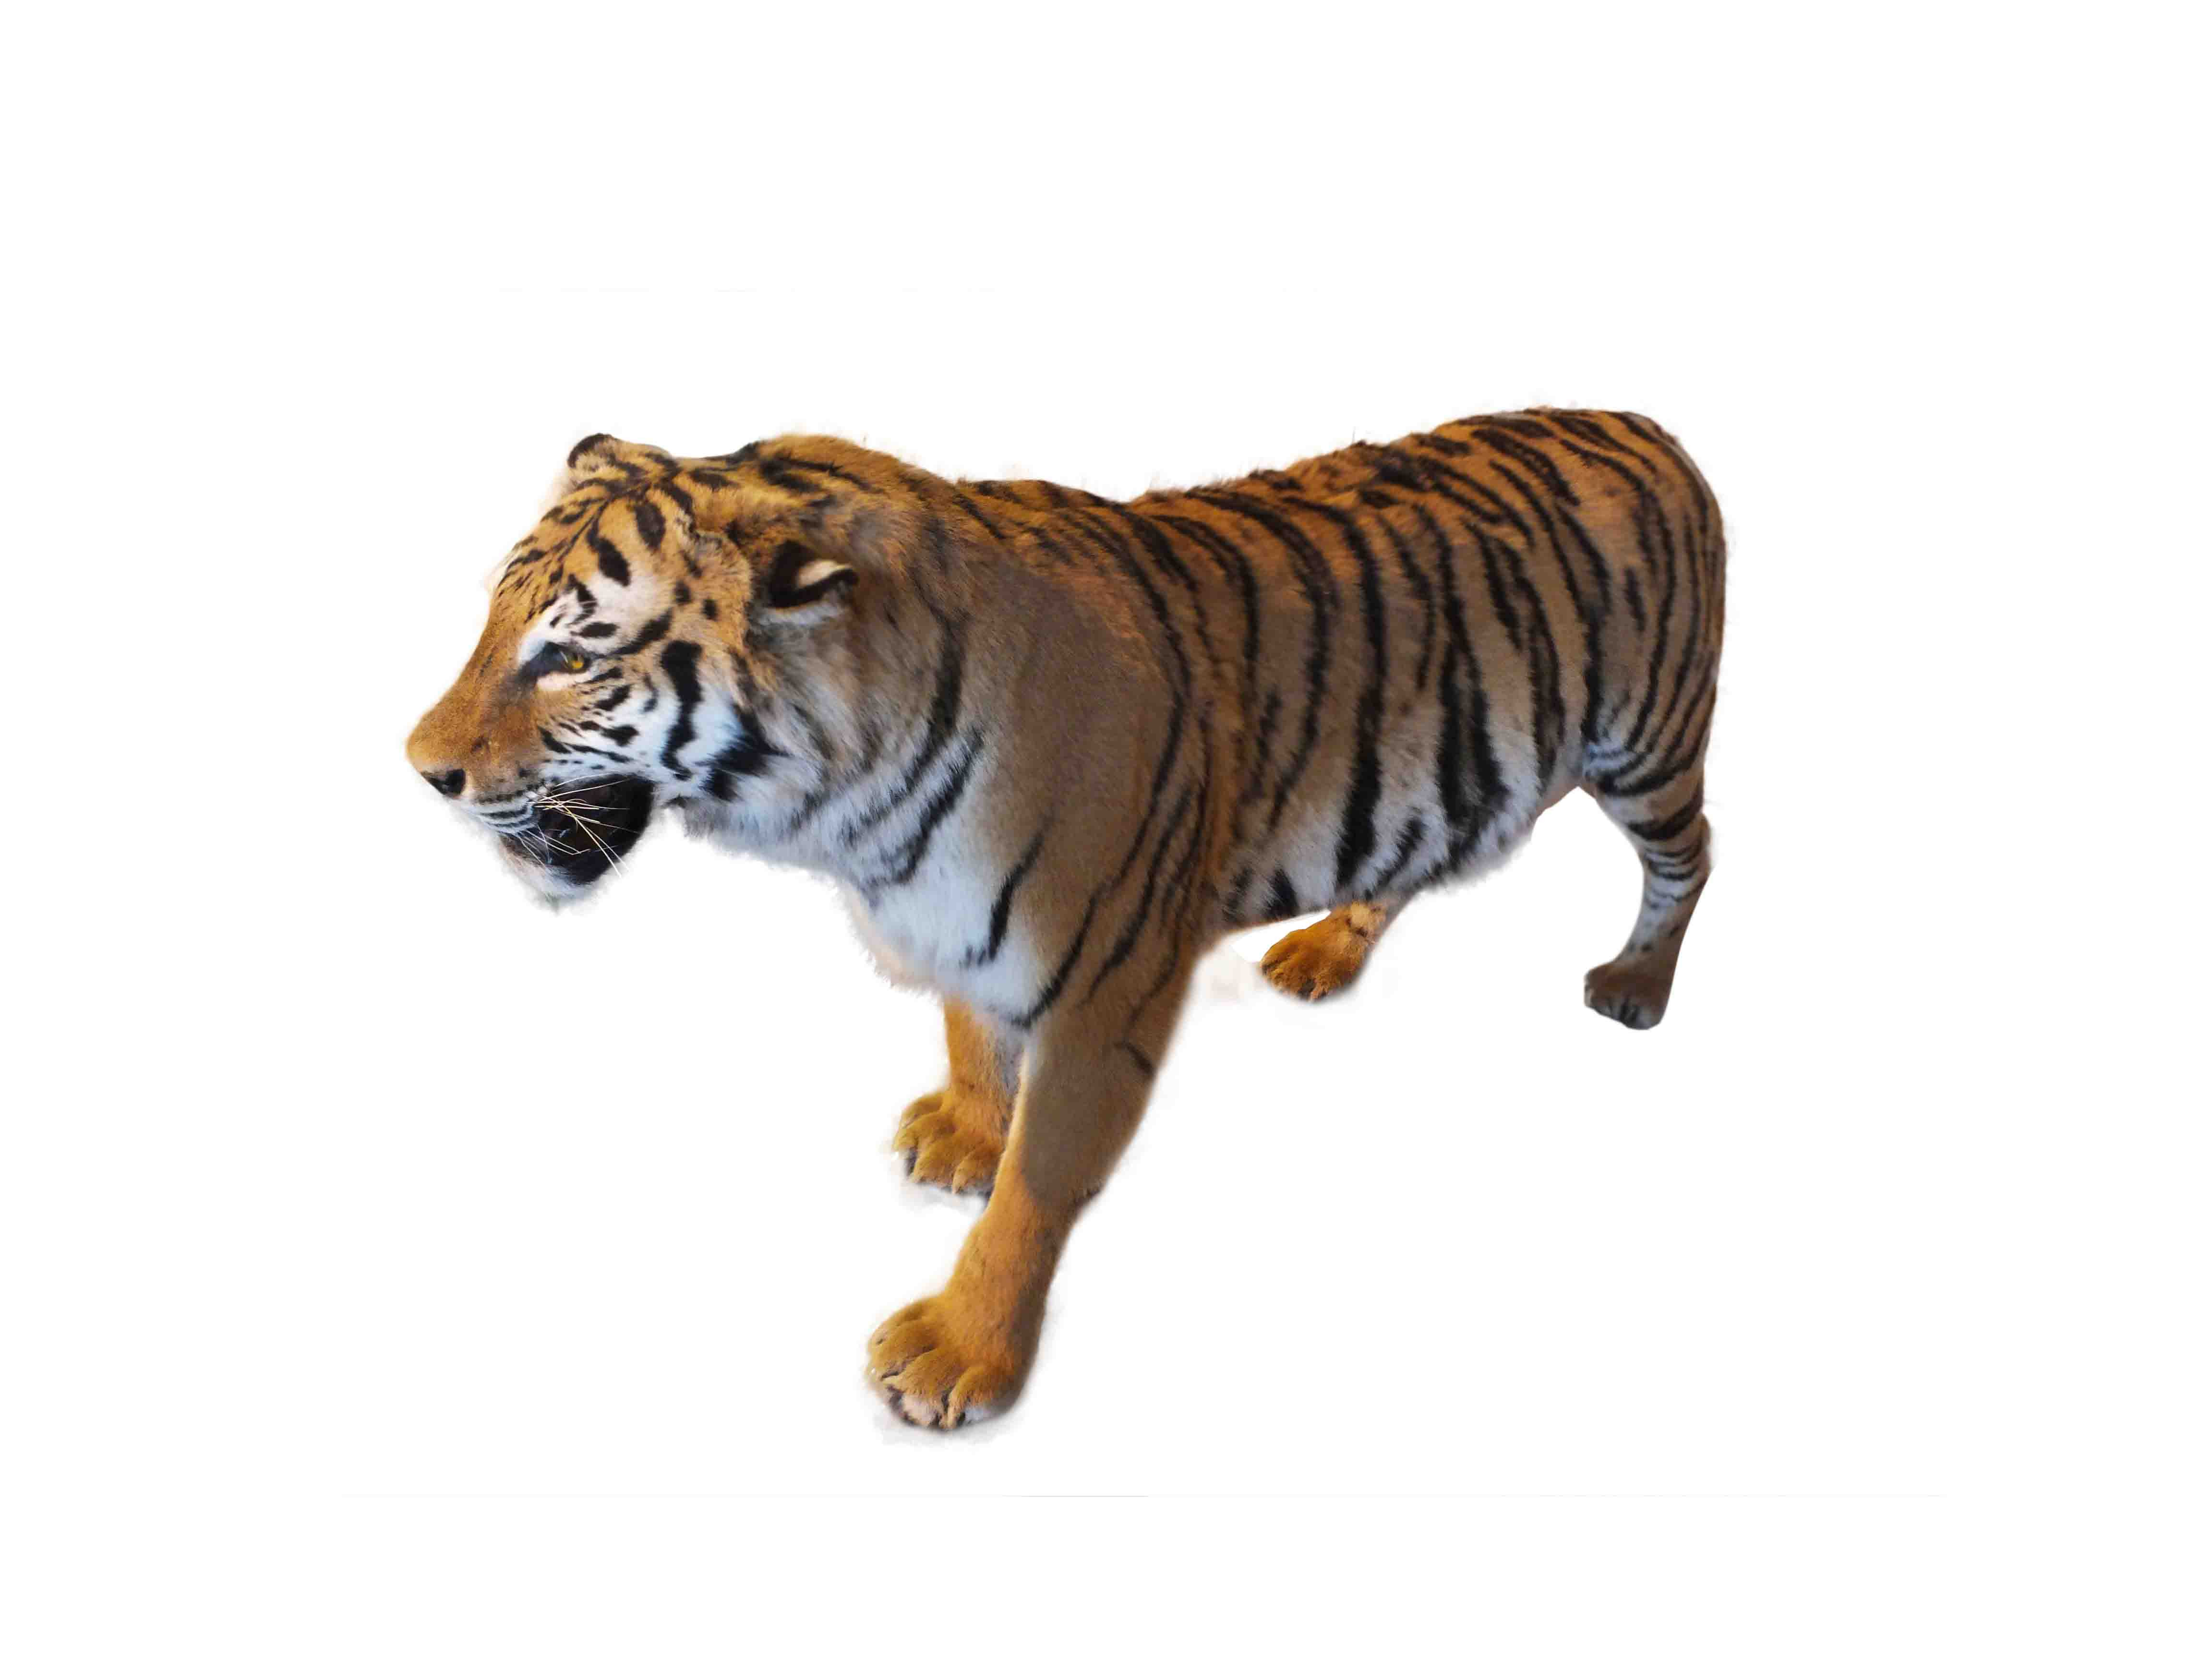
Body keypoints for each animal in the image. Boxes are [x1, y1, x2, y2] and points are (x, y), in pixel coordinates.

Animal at [406, 410, 1725, 1428]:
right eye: (493, 624)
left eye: (571, 656)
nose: (423, 771)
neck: (849, 812)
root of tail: (1650, 424)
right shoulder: (952, 916)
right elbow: (969, 1033)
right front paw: (961, 1135)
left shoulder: (1110, 992)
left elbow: (1035, 1193)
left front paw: (958, 1351)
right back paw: (1324, 950)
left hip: (1649, 748)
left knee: (1695, 857)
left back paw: (1638, 987)